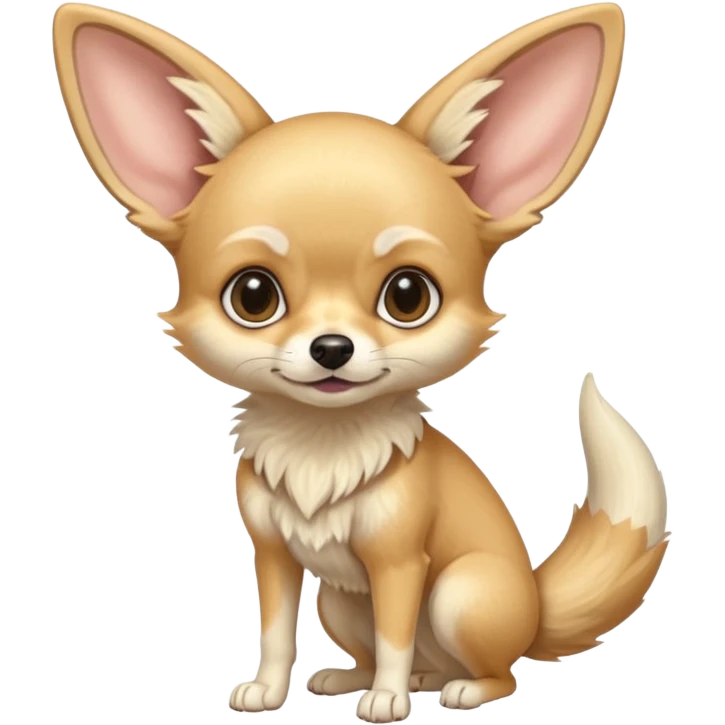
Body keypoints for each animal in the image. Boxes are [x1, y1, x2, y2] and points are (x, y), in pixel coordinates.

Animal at [52, 2, 669, 722]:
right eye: (253, 296)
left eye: (408, 296)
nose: (331, 348)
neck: (322, 444)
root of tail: (536, 610)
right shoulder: (272, 555)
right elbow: (274, 631)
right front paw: (267, 690)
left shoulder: (399, 562)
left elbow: (395, 633)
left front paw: (388, 702)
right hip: (340, 601)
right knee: (397, 651)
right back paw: (357, 677)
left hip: (459, 594)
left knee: (492, 671)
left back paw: (452, 688)